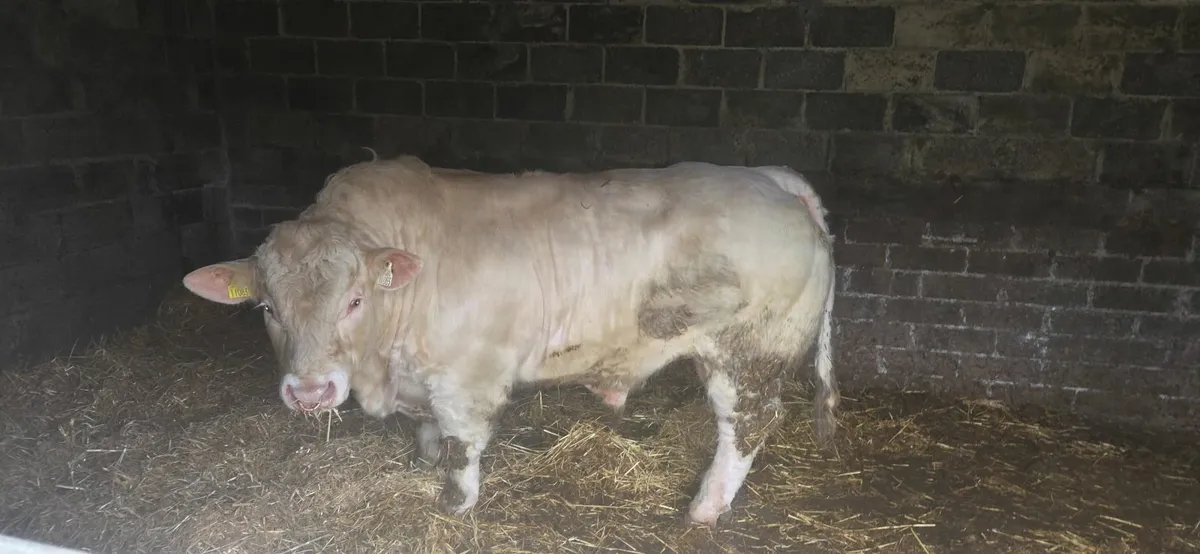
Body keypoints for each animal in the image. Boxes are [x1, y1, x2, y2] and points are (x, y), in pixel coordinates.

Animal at [181, 155, 837, 527]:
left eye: (354, 300)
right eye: (267, 307)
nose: (310, 392)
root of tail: (767, 179)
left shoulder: (466, 379)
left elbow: (462, 446)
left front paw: (453, 505)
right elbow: (428, 436)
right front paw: (420, 464)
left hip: (749, 352)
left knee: (747, 425)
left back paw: (705, 508)